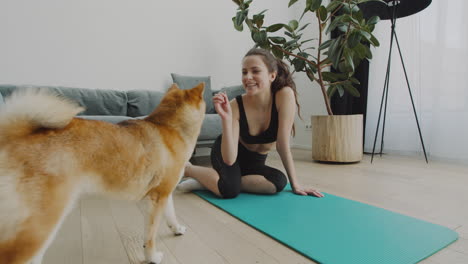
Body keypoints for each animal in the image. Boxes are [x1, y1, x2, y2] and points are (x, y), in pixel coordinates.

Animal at [0, 83, 207, 264]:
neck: (170, 127)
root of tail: (14, 135)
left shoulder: (164, 193)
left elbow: (171, 215)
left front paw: (177, 229)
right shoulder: (156, 199)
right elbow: (150, 236)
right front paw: (152, 257)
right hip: (40, 225)